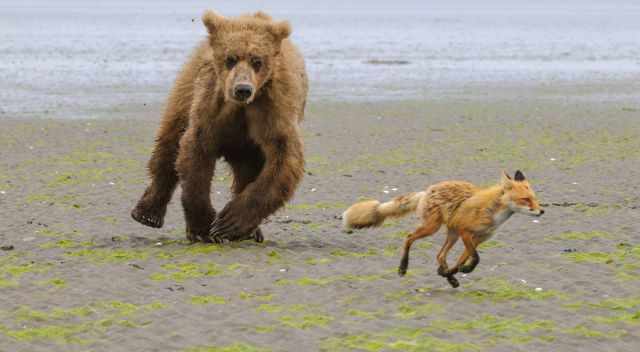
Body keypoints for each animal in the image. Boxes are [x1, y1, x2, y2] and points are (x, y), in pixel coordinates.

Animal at [131, 9, 308, 243]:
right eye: (230, 58)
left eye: (257, 60)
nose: (242, 89)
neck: (242, 107)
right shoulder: (212, 107)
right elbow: (195, 153)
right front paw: (204, 228)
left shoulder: (274, 109)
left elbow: (283, 159)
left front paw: (228, 223)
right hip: (188, 87)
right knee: (170, 142)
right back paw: (147, 213)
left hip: (246, 146)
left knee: (248, 171)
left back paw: (252, 232)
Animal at [342, 170, 544, 288]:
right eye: (525, 199)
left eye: (535, 199)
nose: (542, 211)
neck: (493, 213)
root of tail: (428, 190)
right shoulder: (466, 233)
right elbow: (476, 258)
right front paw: (464, 270)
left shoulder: (478, 239)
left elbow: (462, 261)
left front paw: (451, 273)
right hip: (433, 228)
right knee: (409, 237)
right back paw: (403, 267)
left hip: (451, 234)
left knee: (440, 255)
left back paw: (447, 276)